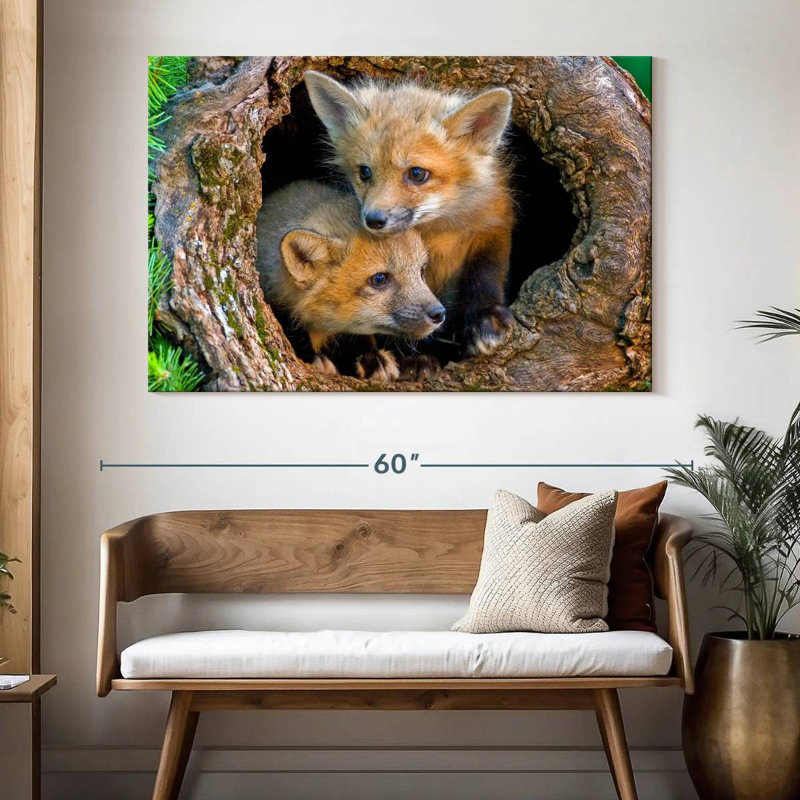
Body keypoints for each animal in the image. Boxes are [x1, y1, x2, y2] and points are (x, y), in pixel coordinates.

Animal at [304, 70, 515, 362]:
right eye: (365, 172)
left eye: (417, 174)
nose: (373, 220)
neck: (437, 234)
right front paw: (416, 360)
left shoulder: (492, 223)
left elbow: (486, 274)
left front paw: (485, 319)